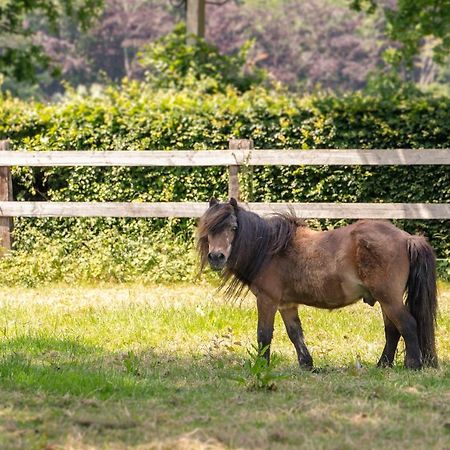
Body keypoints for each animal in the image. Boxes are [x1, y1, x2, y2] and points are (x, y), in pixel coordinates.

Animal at [197, 199, 436, 370]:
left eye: (233, 227)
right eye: (209, 229)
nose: (216, 257)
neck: (269, 249)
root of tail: (407, 238)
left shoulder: (267, 300)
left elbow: (264, 335)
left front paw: (261, 366)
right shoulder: (286, 305)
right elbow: (295, 334)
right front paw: (307, 365)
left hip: (389, 299)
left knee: (407, 325)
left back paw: (413, 365)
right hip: (385, 301)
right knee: (392, 331)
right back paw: (383, 365)